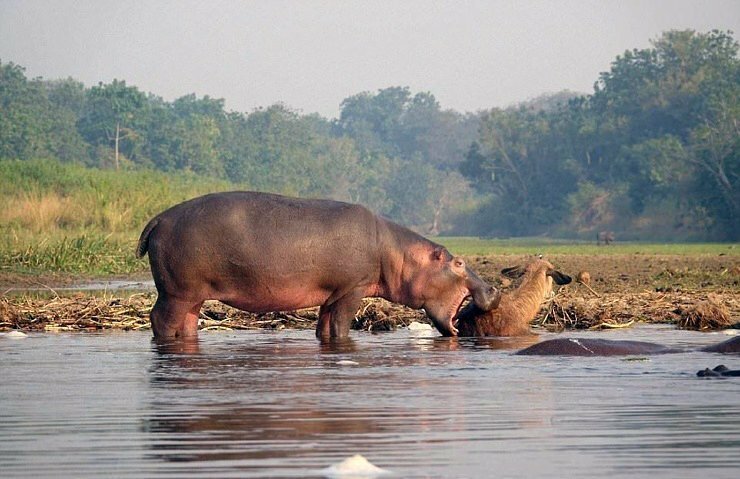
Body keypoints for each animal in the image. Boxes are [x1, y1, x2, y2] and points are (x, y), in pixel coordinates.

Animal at [137, 191, 500, 342]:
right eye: (458, 262)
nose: (494, 289)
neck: (398, 254)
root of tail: (158, 219)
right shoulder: (352, 289)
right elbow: (340, 326)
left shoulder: (332, 294)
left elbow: (324, 328)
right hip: (176, 292)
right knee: (161, 320)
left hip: (192, 296)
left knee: (186, 323)